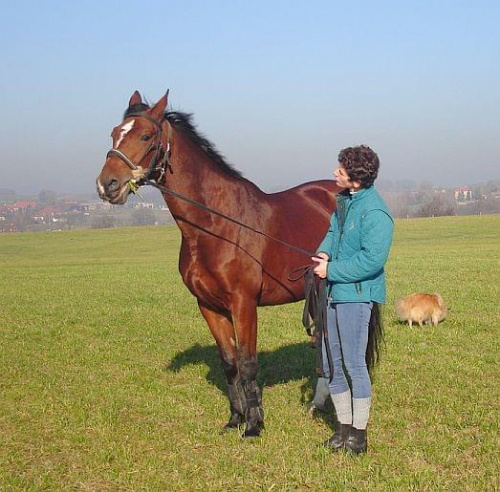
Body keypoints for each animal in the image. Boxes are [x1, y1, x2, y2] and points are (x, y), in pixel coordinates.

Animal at [96, 90, 342, 436]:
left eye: (145, 136)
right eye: (114, 133)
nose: (108, 185)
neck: (215, 226)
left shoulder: (243, 304)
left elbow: (248, 364)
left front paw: (254, 426)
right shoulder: (209, 306)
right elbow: (230, 364)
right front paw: (235, 419)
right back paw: (317, 403)